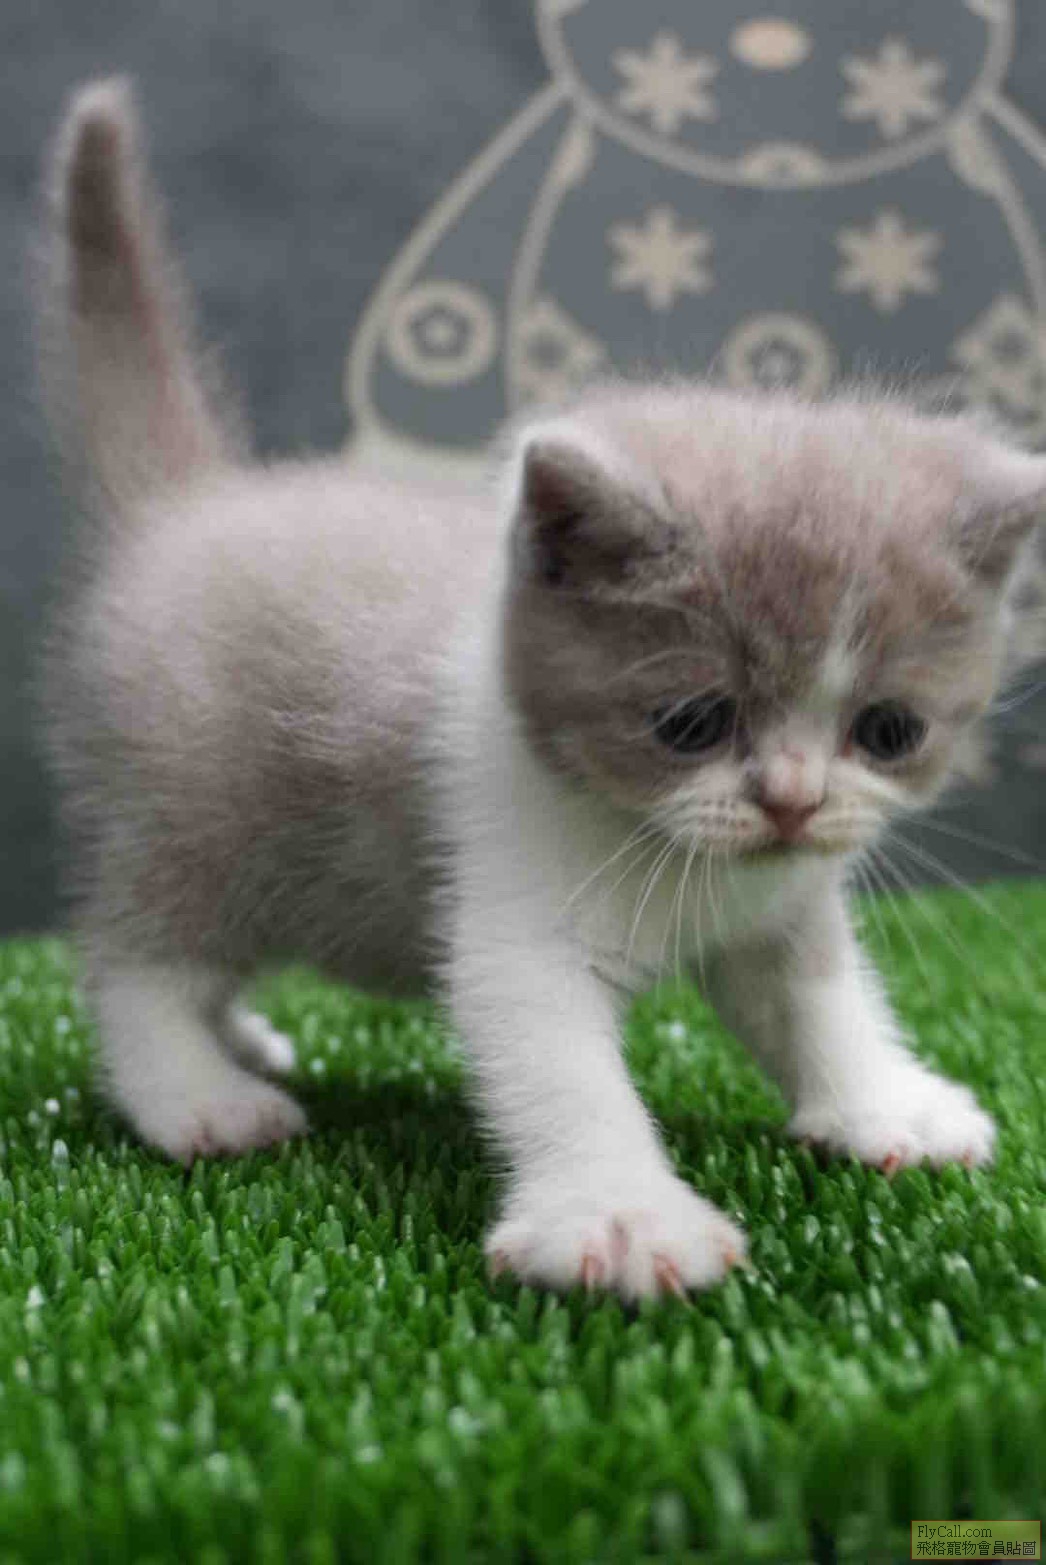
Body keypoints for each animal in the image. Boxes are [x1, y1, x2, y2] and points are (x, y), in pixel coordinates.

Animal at [36, 79, 1044, 1301]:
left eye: (888, 730)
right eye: (690, 722)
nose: (793, 801)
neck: (676, 853)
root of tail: (187, 505)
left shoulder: (778, 905)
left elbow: (817, 998)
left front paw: (882, 1104)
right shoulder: (519, 909)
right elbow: (558, 1065)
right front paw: (620, 1217)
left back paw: (243, 1040)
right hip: (198, 814)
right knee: (134, 955)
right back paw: (198, 1091)